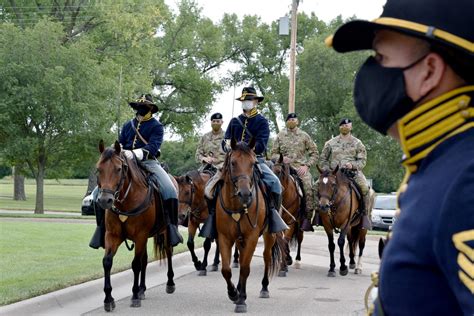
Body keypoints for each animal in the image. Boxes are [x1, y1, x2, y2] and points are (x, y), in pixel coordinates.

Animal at [95, 141, 177, 312]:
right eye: (98, 168)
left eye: (118, 169)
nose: (105, 200)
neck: (125, 200)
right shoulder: (113, 235)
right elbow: (107, 262)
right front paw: (108, 299)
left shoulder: (140, 236)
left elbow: (135, 264)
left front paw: (133, 296)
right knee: (145, 260)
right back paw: (142, 289)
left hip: (164, 233)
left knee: (168, 252)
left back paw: (169, 283)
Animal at [215, 139, 286, 314]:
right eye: (233, 163)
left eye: (253, 163)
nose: (245, 194)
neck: (236, 206)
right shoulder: (224, 237)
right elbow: (226, 269)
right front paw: (233, 293)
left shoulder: (252, 237)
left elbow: (245, 268)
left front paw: (241, 300)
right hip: (240, 240)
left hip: (269, 235)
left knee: (267, 257)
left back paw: (264, 288)